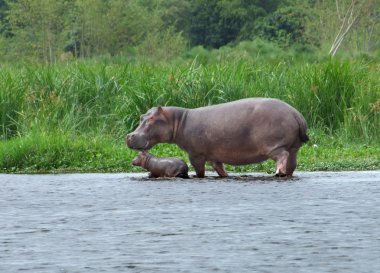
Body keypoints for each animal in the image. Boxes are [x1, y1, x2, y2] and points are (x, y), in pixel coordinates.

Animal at [127, 97, 308, 176]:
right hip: (295, 147)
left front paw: (197, 176)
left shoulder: (195, 154)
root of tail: (296, 113)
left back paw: (278, 173)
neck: (178, 120)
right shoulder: (215, 155)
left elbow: (200, 171)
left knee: (282, 156)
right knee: (292, 163)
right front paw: (226, 176)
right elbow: (219, 168)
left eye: (151, 119)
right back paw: (286, 174)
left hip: (273, 146)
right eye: (141, 117)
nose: (129, 136)